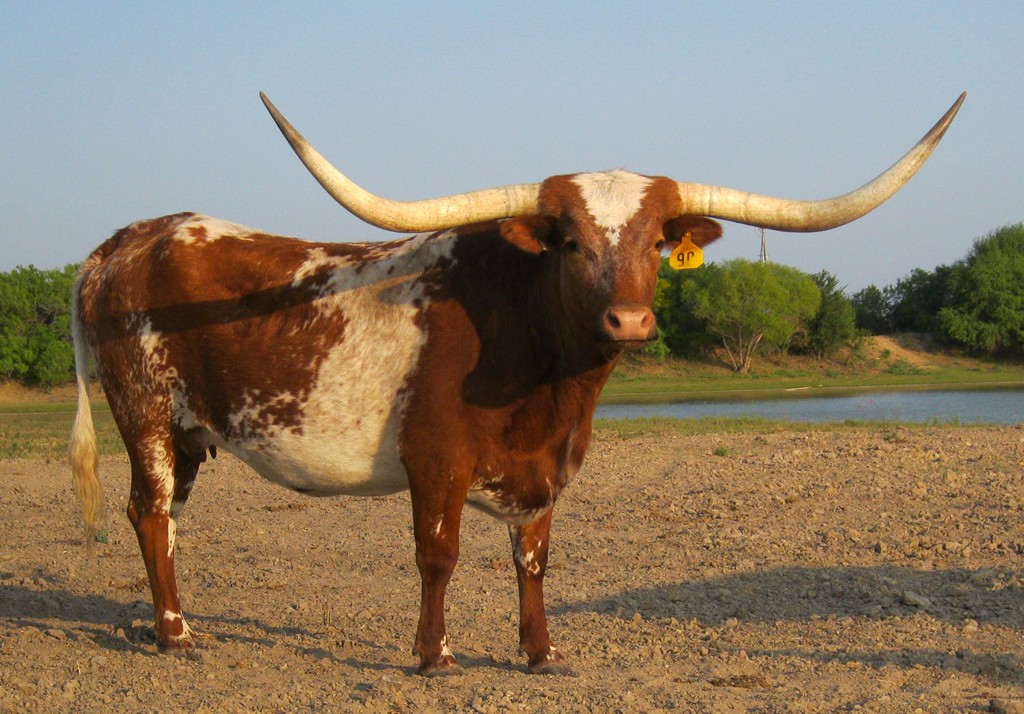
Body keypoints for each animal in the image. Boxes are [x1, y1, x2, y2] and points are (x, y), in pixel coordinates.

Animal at [69, 91, 964, 675]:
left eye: (655, 240)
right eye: (568, 240)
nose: (629, 322)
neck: (544, 377)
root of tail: (122, 241)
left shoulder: (544, 466)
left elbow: (533, 558)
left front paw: (542, 652)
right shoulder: (436, 459)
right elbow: (439, 554)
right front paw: (434, 656)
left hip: (191, 431)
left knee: (166, 521)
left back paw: (170, 624)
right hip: (144, 414)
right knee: (149, 512)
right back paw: (177, 635)